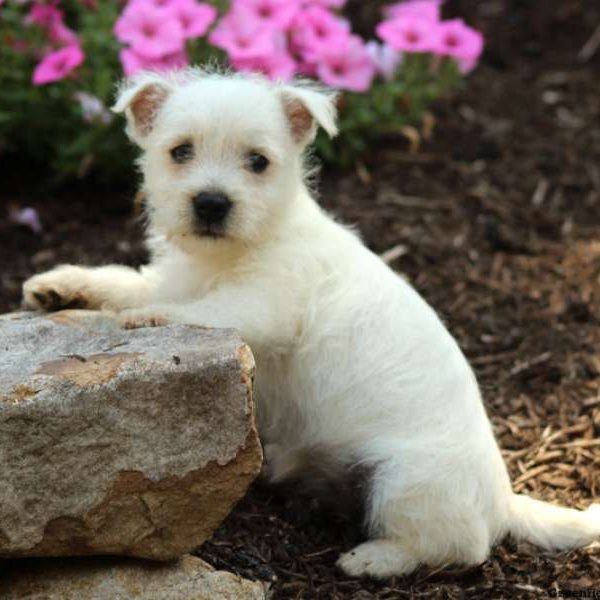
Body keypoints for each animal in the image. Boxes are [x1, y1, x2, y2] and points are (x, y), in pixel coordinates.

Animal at [23, 69, 600, 576]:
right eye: (180, 151)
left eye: (258, 161)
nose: (211, 203)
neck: (235, 251)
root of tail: (503, 500)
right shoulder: (174, 277)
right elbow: (125, 280)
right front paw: (60, 284)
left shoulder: (266, 304)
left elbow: (207, 311)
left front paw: (147, 317)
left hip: (406, 481)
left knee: (458, 545)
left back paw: (374, 559)